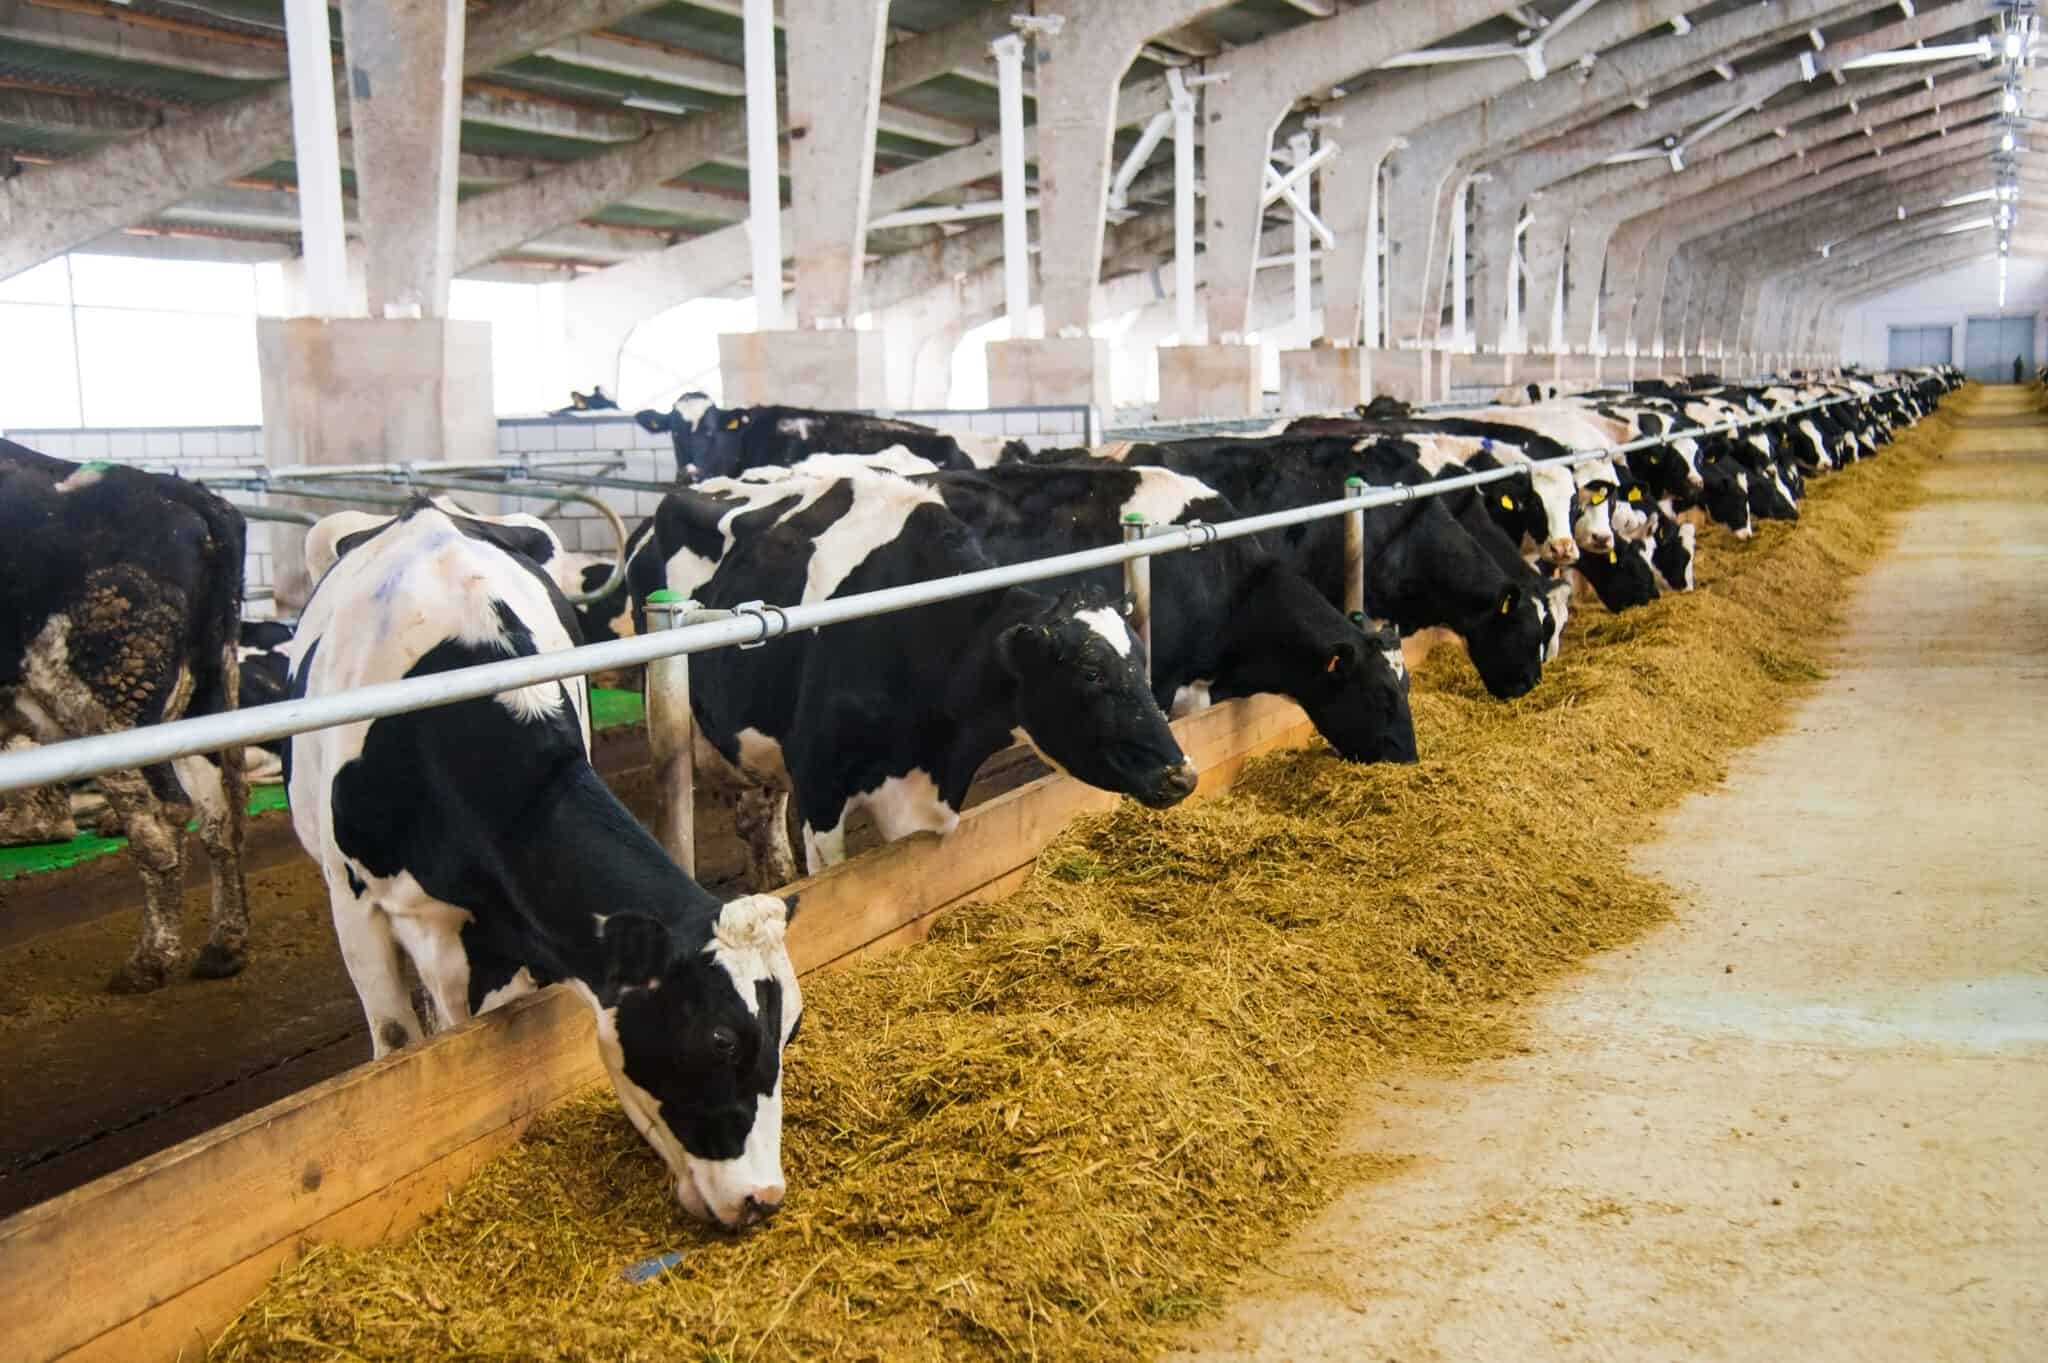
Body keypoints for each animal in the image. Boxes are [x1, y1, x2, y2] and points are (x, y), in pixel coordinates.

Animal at [0, 444, 249, 986]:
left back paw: (150, 961)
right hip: (201, 702)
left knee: (156, 821)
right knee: (219, 815)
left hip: (103, 708)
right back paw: (224, 947)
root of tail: (182, 493)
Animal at [288, 499, 798, 1219]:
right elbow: (396, 1040)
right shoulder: (353, 899)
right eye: (721, 1039)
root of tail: (425, 507)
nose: (764, 1197)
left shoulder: (505, 933)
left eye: (791, 1031)